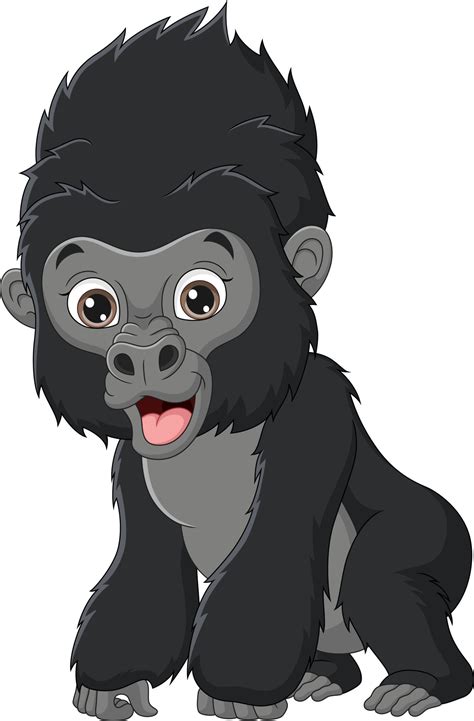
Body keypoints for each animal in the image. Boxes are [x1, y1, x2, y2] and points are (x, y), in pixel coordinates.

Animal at [1, 6, 472, 720]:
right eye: (95, 306)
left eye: (200, 297)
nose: (144, 354)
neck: (218, 430)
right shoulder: (135, 460)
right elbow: (144, 571)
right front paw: (112, 682)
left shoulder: (316, 411)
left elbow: (271, 562)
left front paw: (237, 692)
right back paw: (325, 676)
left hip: (438, 534)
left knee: (383, 577)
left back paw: (424, 681)